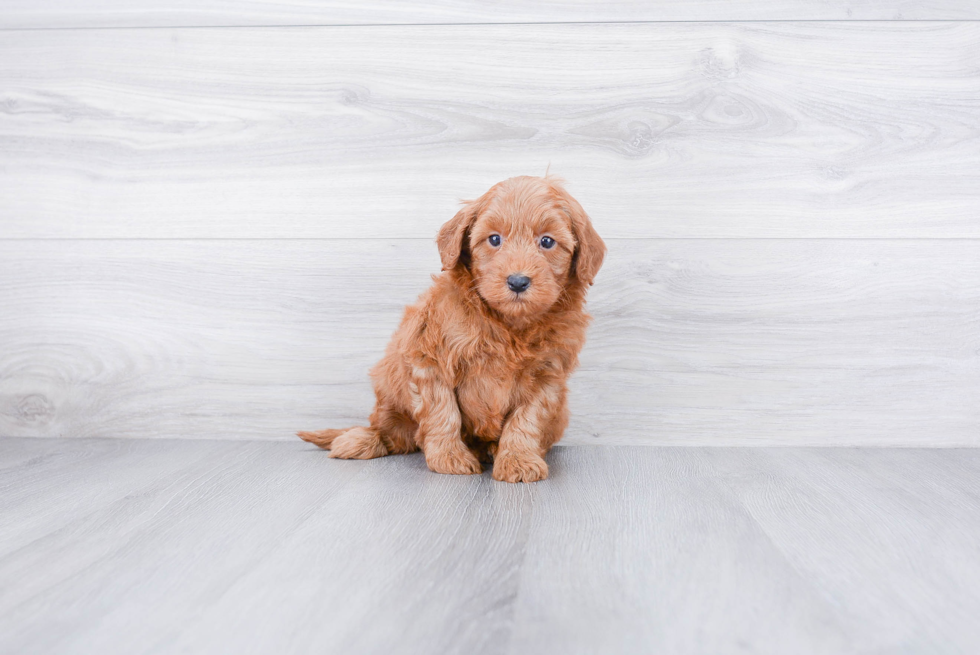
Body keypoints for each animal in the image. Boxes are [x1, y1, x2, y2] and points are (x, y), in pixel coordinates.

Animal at [296, 174, 604, 482]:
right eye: (494, 239)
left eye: (547, 241)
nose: (518, 281)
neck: (507, 324)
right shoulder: (429, 358)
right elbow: (443, 412)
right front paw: (449, 458)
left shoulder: (547, 376)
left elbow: (527, 420)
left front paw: (518, 459)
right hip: (389, 391)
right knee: (392, 433)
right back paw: (359, 439)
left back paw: (491, 449)